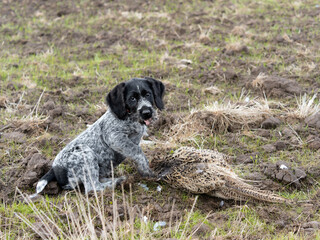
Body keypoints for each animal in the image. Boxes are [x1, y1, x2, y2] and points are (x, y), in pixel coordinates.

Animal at [32, 78, 165, 196]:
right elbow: (136, 150)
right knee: (92, 188)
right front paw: (147, 172)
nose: (147, 113)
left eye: (148, 94)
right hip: (85, 154)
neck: (131, 118)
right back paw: (119, 182)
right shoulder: (114, 137)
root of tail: (54, 169)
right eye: (132, 99)